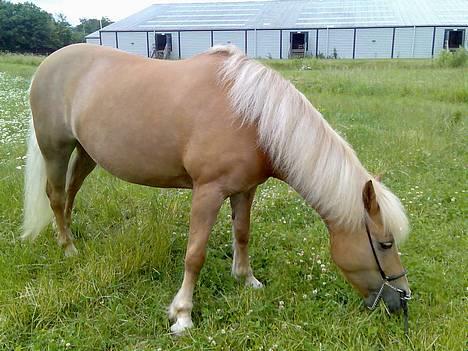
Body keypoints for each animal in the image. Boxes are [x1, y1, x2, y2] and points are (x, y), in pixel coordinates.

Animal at [22, 44, 410, 336]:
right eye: (384, 244)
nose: (402, 299)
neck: (251, 117)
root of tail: (49, 63)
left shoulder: (245, 190)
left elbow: (242, 234)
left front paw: (246, 279)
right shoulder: (207, 192)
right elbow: (195, 254)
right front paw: (182, 314)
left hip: (86, 153)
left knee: (70, 192)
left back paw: (68, 236)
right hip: (56, 148)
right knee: (56, 195)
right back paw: (68, 248)